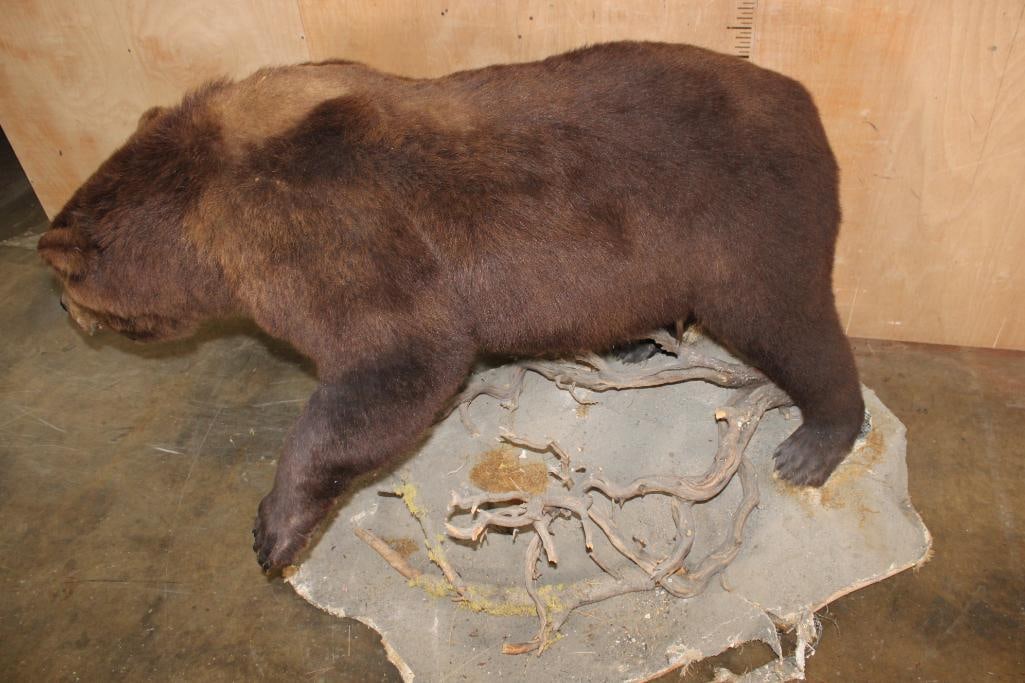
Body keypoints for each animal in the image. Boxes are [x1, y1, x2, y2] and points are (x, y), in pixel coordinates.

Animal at [37, 42, 864, 572]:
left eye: (67, 286)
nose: (68, 312)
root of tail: (807, 103)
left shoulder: (324, 232)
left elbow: (401, 360)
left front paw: (273, 527)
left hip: (744, 223)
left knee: (789, 322)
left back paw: (811, 443)